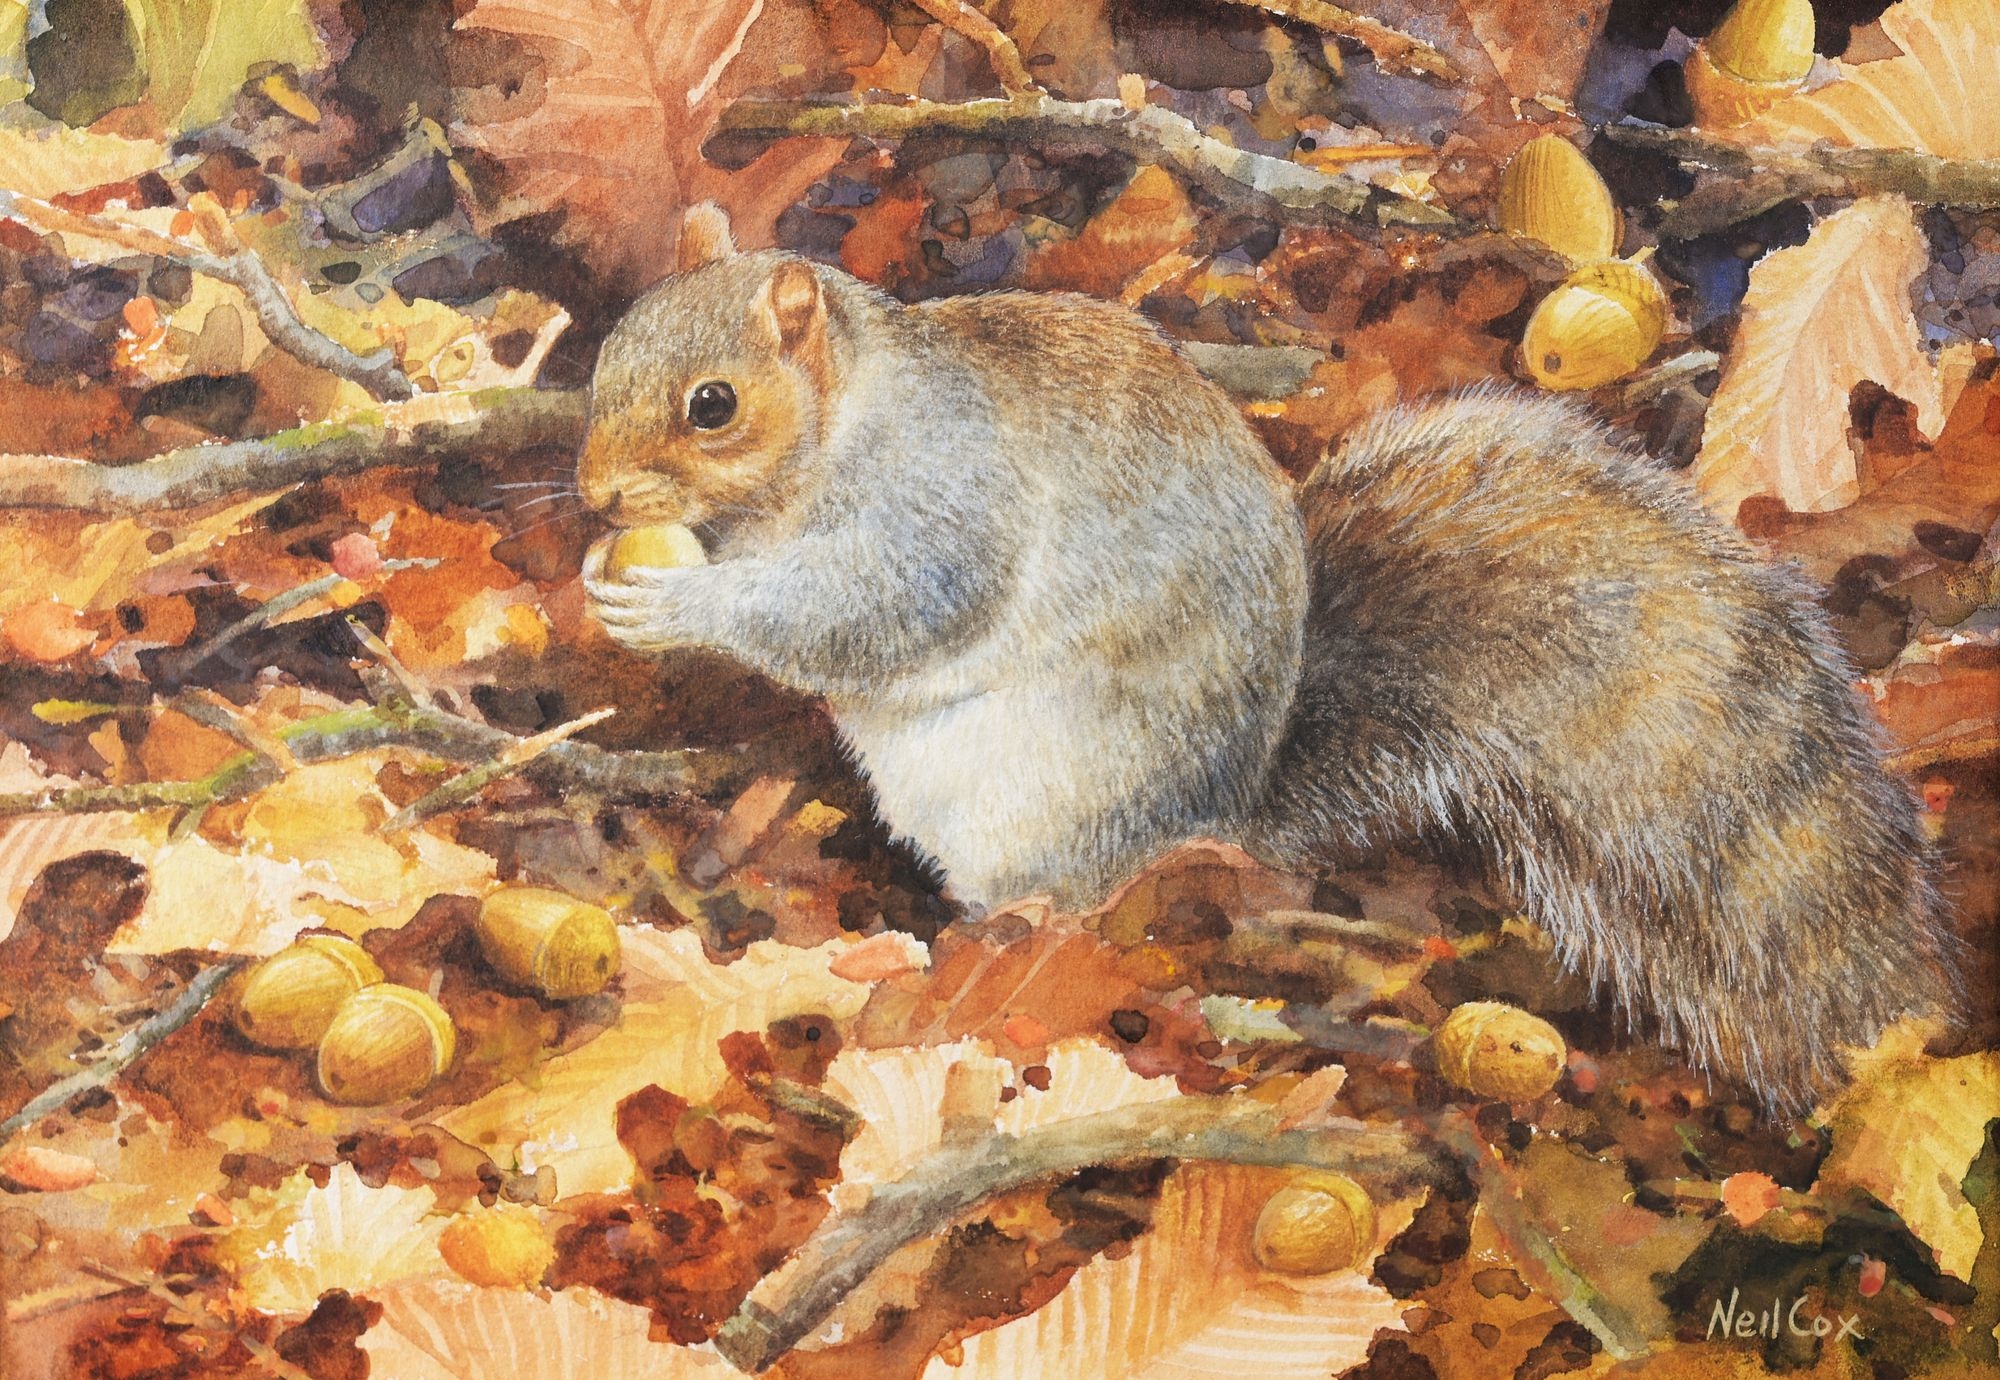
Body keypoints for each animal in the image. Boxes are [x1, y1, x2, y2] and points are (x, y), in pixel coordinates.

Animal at [578, 203, 1957, 1111]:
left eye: (712, 405)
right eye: (605, 352)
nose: (592, 494)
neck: (844, 427)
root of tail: (1227, 817)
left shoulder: (942, 504)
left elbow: (880, 609)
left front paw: (686, 602)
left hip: (1055, 799)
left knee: (1055, 910)